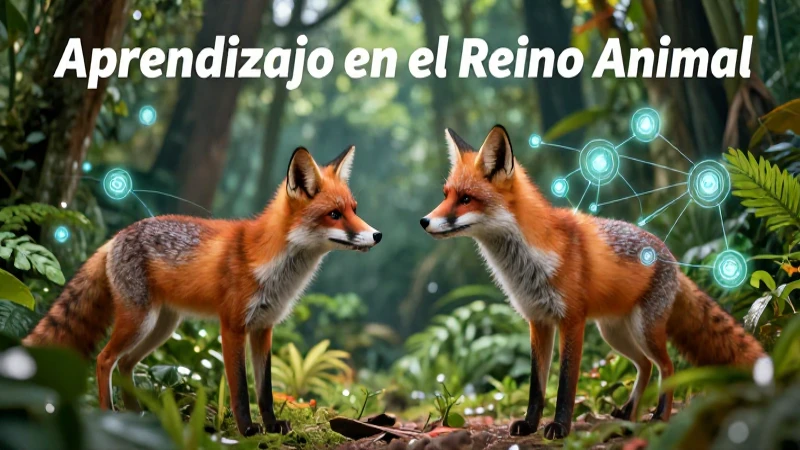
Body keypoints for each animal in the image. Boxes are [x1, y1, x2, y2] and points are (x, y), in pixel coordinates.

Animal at [23, 146, 382, 436]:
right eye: (334, 214)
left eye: (355, 209)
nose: (377, 235)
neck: (274, 267)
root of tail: (115, 237)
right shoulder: (233, 326)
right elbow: (241, 390)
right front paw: (248, 430)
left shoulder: (263, 328)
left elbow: (264, 390)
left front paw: (271, 426)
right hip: (139, 321)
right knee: (104, 359)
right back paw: (108, 414)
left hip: (163, 327)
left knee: (125, 364)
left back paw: (136, 417)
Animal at [421, 125, 764, 439]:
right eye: (446, 195)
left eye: (466, 199)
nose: (424, 221)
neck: (528, 262)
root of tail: (674, 260)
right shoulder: (538, 321)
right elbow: (536, 385)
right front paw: (530, 424)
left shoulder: (572, 320)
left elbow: (565, 383)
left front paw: (560, 427)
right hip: (614, 333)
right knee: (644, 366)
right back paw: (628, 413)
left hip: (644, 330)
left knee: (667, 367)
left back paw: (659, 417)